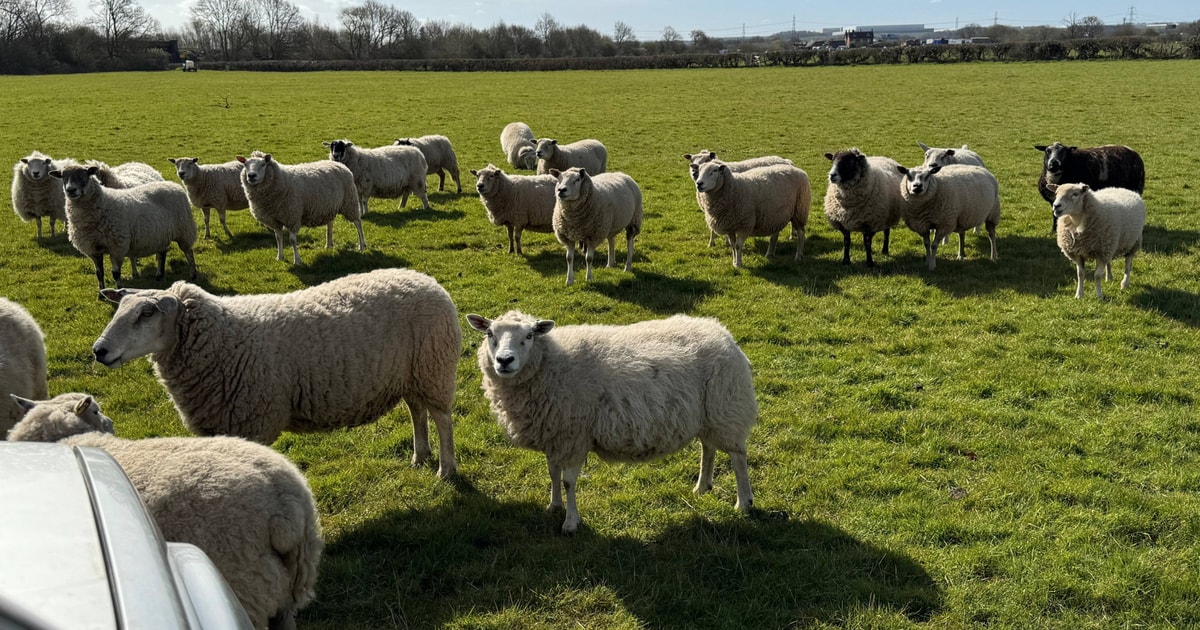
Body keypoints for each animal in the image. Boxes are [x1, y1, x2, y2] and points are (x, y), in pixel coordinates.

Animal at [8, 393, 322, 630]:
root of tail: (287, 504)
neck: (65, 440)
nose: (112, 422)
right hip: (290, 581)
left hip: (248, 585)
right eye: (96, 410)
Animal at [52, 164, 198, 292]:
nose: (71, 190)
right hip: (161, 234)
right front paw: (101, 293)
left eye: (84, 175)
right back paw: (159, 276)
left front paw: (119, 290)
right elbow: (99, 273)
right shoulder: (93, 249)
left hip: (184, 230)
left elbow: (116, 273)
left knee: (189, 252)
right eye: (63, 176)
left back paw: (193, 275)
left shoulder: (117, 247)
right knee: (162, 254)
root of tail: (173, 184)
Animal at [90, 267, 461, 478]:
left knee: (442, 419)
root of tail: (425, 280)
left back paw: (445, 469)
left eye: (147, 313)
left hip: (434, 367)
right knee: (417, 412)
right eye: (119, 308)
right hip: (412, 375)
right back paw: (419, 456)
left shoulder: (251, 421)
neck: (221, 338)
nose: (99, 350)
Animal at [466, 310, 758, 534]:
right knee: (708, 447)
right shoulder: (555, 434)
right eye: (489, 334)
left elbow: (568, 481)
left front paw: (570, 523)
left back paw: (744, 502)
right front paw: (554, 506)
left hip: (727, 407)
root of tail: (721, 332)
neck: (551, 364)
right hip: (708, 416)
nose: (504, 360)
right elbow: (552, 473)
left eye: (529, 336)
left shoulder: (574, 435)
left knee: (738, 457)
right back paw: (702, 486)